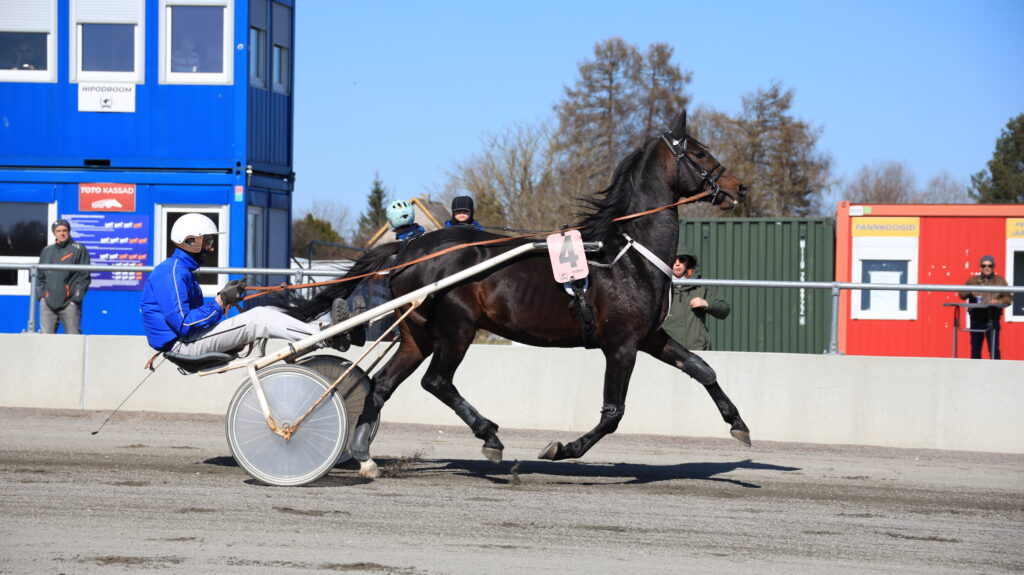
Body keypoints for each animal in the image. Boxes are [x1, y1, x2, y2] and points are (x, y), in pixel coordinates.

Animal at [287, 110, 749, 478]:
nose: (739, 187)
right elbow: (613, 413)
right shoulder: (622, 344)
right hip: (457, 328)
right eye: (700, 152)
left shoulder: (648, 336)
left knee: (382, 384)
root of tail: (411, 248)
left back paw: (364, 455)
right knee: (437, 381)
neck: (626, 254)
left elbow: (702, 368)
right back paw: (489, 435)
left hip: (417, 333)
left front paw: (739, 425)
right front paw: (561, 448)